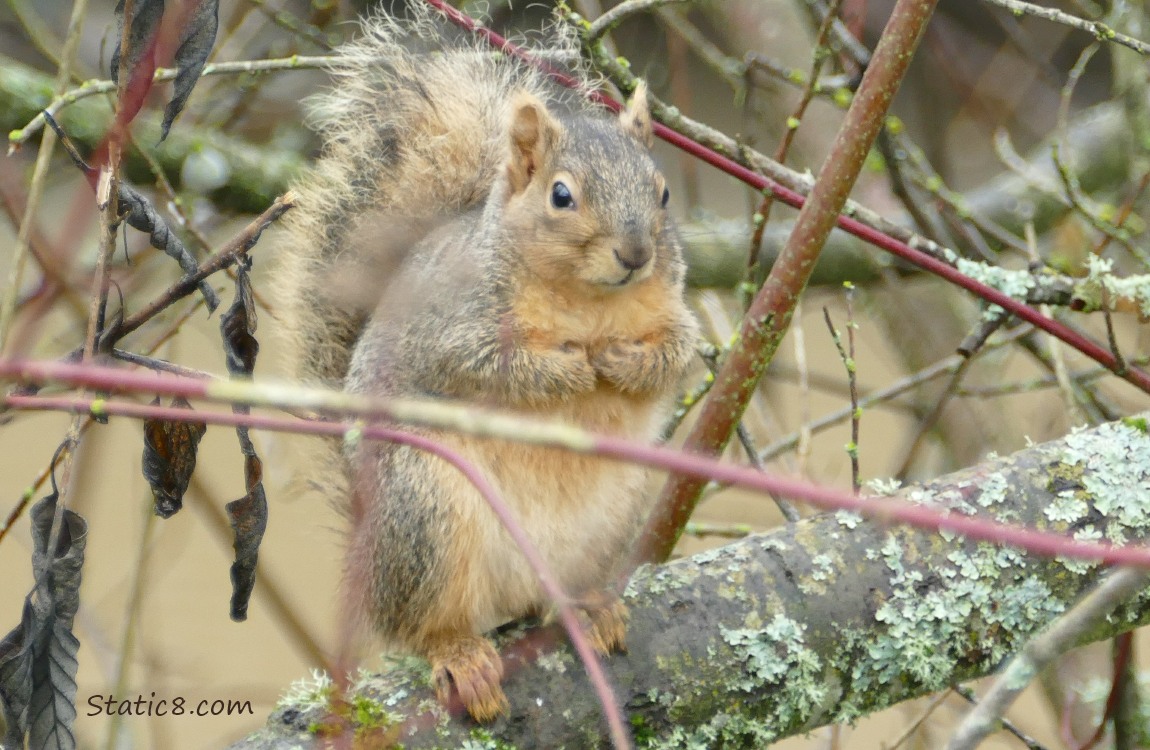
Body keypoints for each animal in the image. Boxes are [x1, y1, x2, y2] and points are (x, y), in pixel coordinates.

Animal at [273, 4, 694, 722]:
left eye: (663, 192)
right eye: (561, 196)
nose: (636, 253)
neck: (588, 302)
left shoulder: (674, 309)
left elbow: (677, 355)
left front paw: (623, 362)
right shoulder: (451, 327)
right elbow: (491, 368)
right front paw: (570, 370)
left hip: (617, 508)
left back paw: (586, 606)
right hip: (425, 507)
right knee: (422, 625)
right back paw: (459, 655)